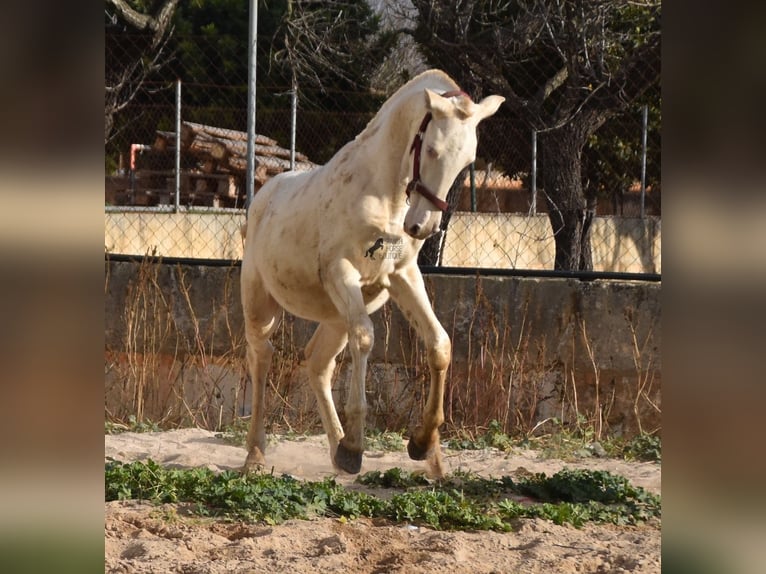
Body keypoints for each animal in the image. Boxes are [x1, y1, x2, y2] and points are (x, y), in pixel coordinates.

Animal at [240, 70, 504, 480]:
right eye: (431, 150)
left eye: (468, 160)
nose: (423, 227)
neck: (384, 195)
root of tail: (262, 197)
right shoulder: (341, 272)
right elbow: (365, 339)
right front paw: (356, 447)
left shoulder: (401, 275)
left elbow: (439, 343)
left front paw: (422, 443)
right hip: (260, 304)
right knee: (262, 357)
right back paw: (257, 453)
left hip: (335, 315)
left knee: (318, 362)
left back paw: (335, 450)